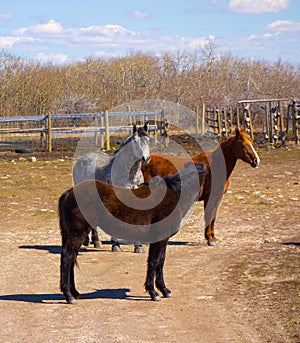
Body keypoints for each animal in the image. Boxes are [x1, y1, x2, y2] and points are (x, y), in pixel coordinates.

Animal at [59, 162, 207, 304]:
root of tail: (69, 193)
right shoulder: (158, 239)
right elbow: (154, 262)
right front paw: (154, 293)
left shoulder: (163, 240)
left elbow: (160, 262)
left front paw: (164, 290)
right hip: (78, 234)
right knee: (67, 257)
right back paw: (69, 296)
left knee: (71, 259)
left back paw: (75, 293)